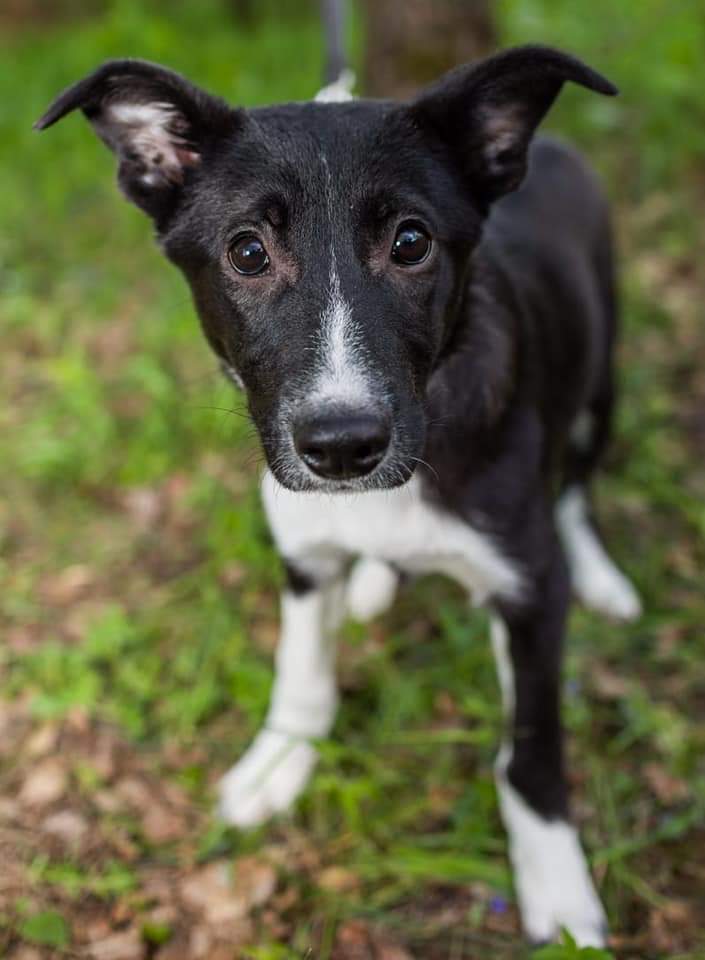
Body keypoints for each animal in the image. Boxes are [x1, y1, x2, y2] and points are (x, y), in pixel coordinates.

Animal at [38, 45, 644, 944]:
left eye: (410, 242)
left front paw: (558, 891)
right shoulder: (299, 547)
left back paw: (600, 576)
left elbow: (529, 747)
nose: (341, 447)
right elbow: (300, 667)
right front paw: (277, 763)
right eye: (247, 252)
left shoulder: (530, 587)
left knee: (576, 485)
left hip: (601, 377)